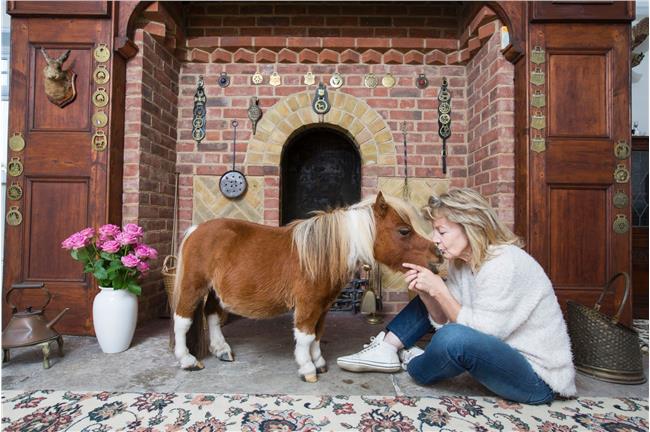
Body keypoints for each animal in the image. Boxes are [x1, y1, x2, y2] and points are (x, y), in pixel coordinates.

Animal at [171, 192, 441, 382]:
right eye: (404, 231)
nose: (437, 254)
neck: (324, 254)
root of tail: (196, 229)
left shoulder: (323, 306)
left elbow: (317, 335)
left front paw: (318, 362)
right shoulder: (308, 305)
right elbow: (305, 336)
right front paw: (307, 368)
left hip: (214, 292)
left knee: (212, 317)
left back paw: (221, 350)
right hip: (193, 286)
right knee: (182, 321)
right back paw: (187, 360)